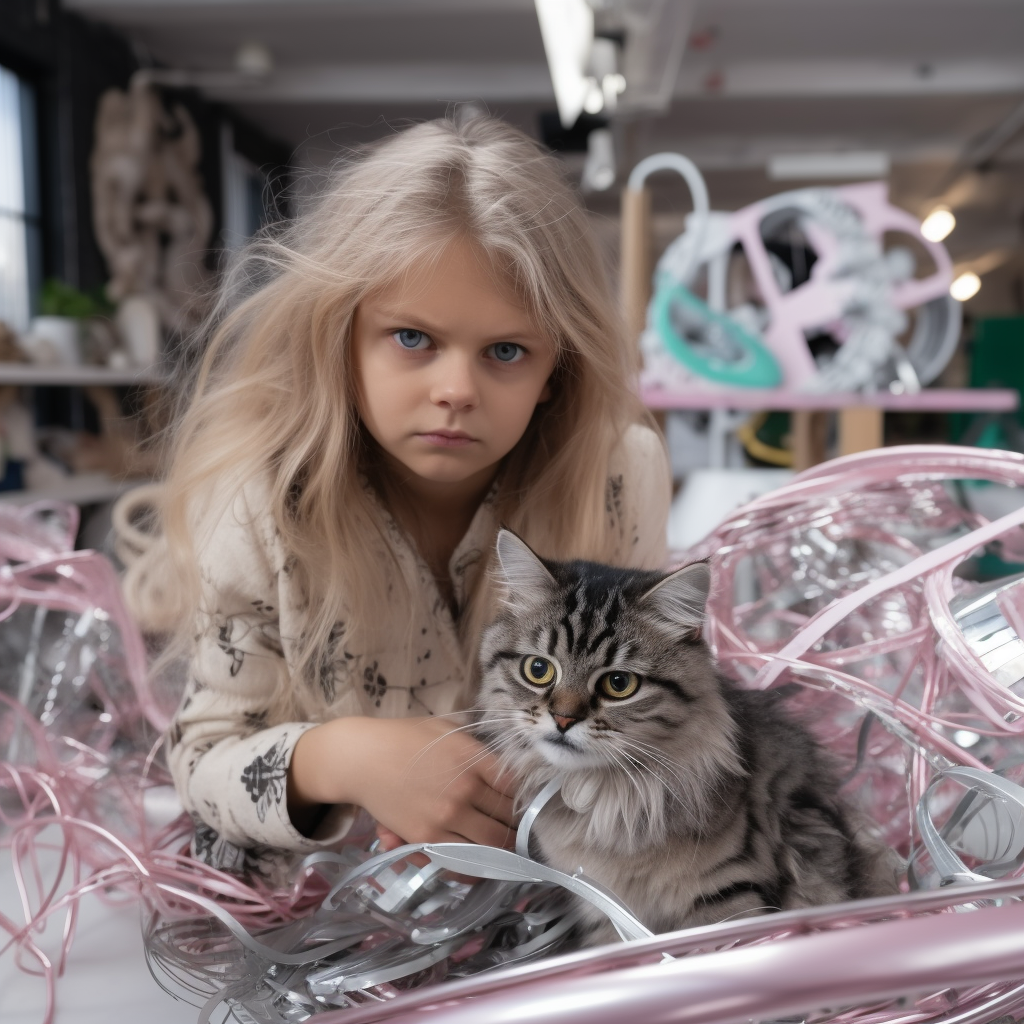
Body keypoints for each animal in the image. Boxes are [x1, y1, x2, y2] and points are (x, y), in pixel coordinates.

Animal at [475, 532, 892, 946]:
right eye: (539, 669)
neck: (606, 799)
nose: (563, 719)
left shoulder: (727, 893)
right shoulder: (601, 908)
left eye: (619, 684)